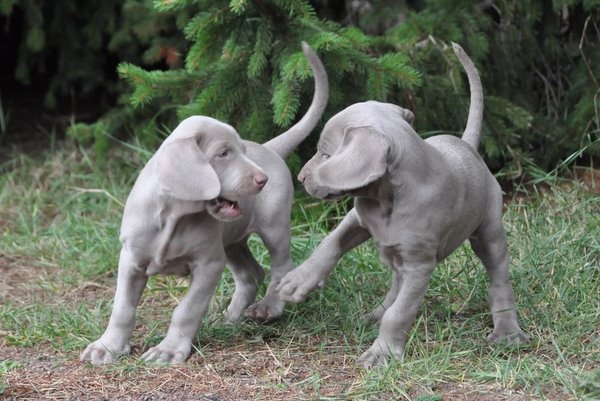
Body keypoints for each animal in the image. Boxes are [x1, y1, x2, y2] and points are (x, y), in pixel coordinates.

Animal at [79, 42, 328, 364]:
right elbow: (122, 307)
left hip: (273, 226)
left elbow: (186, 310)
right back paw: (230, 319)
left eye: (240, 150)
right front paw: (107, 347)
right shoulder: (131, 259)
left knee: (281, 266)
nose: (263, 179)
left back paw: (268, 308)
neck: (174, 217)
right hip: (232, 241)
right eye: (223, 153)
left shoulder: (209, 264)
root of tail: (270, 148)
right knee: (251, 274)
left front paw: (168, 350)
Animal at [278, 43, 528, 366]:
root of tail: (467, 146)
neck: (386, 199)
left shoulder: (420, 265)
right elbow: (330, 242)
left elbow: (399, 313)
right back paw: (374, 313)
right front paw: (299, 280)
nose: (301, 176)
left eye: (325, 153)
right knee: (395, 280)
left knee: (499, 277)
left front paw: (381, 353)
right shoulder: (358, 219)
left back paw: (508, 332)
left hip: (489, 230)